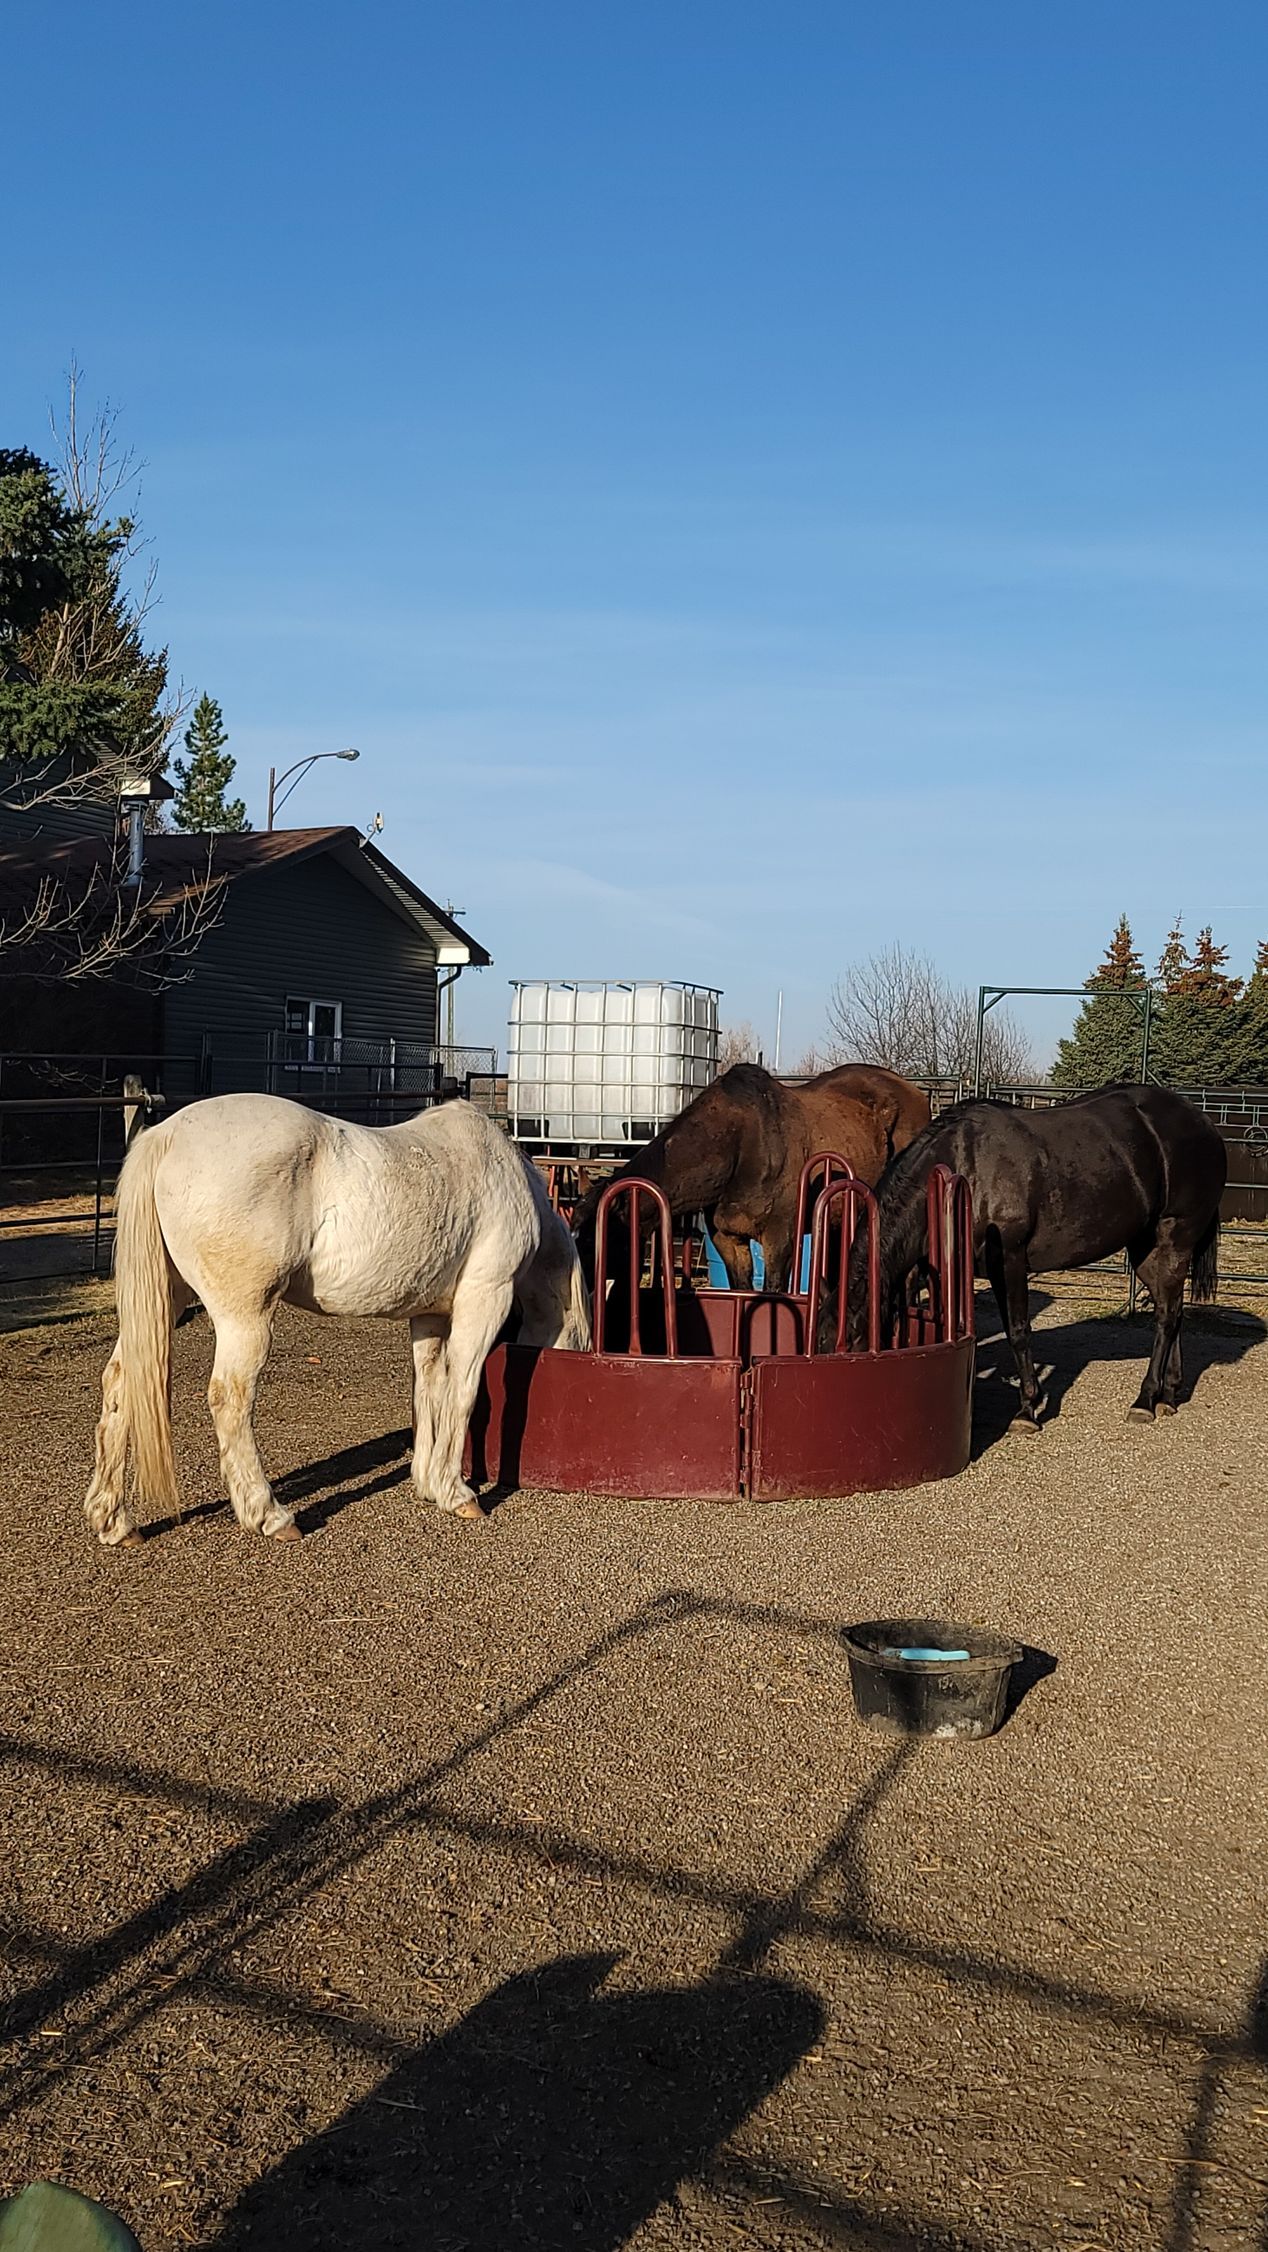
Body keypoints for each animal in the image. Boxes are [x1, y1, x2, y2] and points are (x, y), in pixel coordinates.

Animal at [84, 1095, 591, 1550]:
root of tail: (165, 1136)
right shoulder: (484, 1299)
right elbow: (462, 1390)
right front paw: (457, 1493)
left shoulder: (429, 1316)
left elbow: (429, 1389)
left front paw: (428, 1482)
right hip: (243, 1316)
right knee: (230, 1398)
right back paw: (269, 1515)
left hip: (167, 1300)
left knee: (122, 1381)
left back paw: (114, 1521)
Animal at [572, 1060, 930, 1296]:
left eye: (594, 1239)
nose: (580, 1287)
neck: (739, 1145)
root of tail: (915, 1092)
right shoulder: (728, 1240)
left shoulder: (780, 1240)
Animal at [830, 1084, 1226, 1429]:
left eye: (850, 1337)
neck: (967, 1166)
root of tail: (1204, 1123)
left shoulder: (1011, 1260)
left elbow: (1019, 1331)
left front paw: (1027, 1409)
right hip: (1145, 1249)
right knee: (1172, 1310)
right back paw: (1168, 1395)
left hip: (1175, 1239)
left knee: (1166, 1316)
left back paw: (1145, 1399)